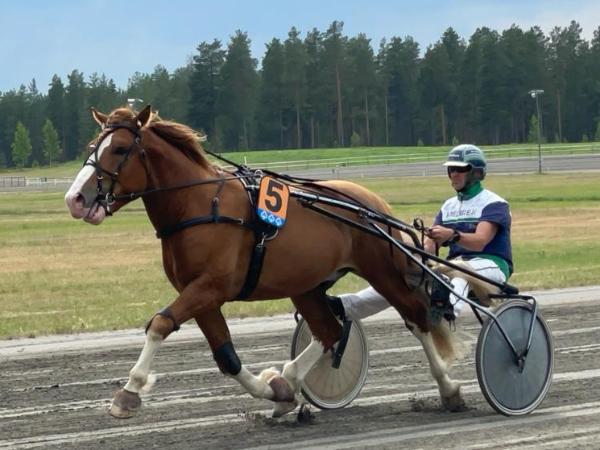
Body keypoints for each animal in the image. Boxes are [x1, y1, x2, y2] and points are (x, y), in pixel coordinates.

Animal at [64, 105, 464, 419]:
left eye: (118, 148)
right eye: (91, 147)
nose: (76, 199)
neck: (199, 205)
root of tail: (371, 202)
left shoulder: (210, 286)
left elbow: (161, 323)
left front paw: (128, 393)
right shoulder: (200, 294)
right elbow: (226, 356)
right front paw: (277, 391)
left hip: (382, 270)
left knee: (416, 316)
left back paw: (449, 388)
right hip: (306, 284)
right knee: (331, 331)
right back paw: (289, 378)